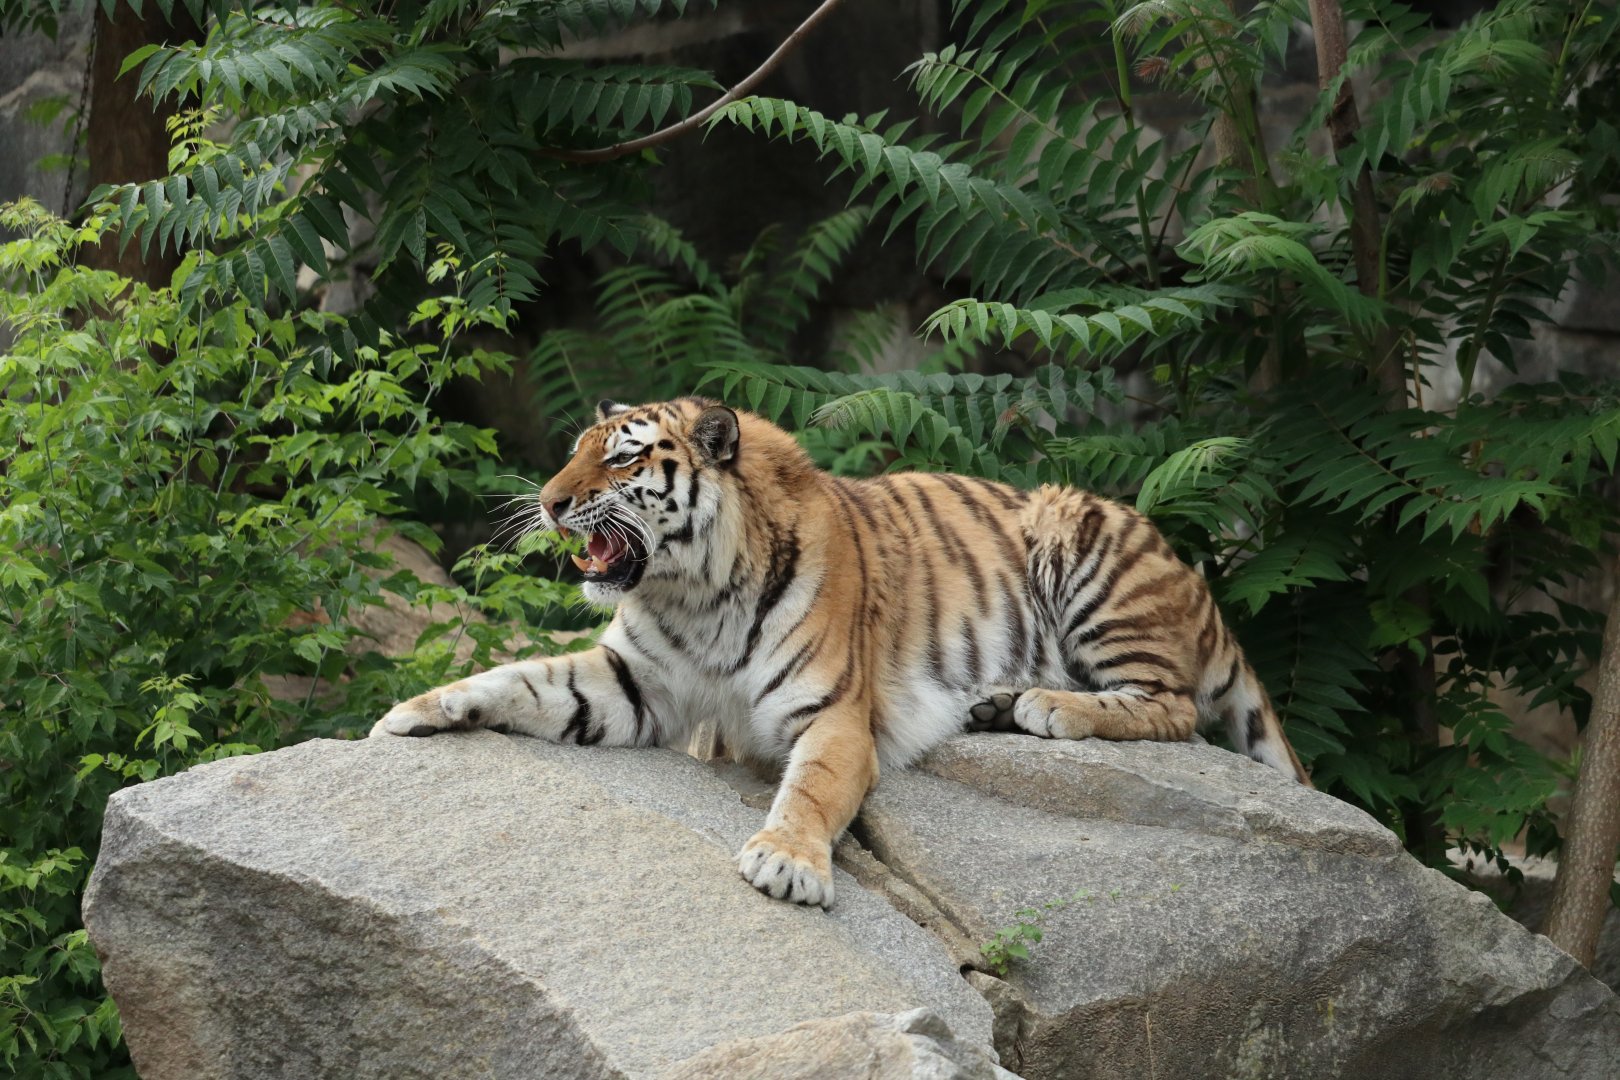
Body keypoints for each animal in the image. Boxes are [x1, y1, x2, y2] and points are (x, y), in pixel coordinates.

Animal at [371, 396, 1309, 908]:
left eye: (623, 460)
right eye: (572, 455)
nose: (549, 501)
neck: (693, 591)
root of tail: (1192, 579)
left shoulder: (831, 715)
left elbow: (813, 791)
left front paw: (785, 863)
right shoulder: (631, 684)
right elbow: (525, 678)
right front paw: (417, 711)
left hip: (1082, 545)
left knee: (1173, 707)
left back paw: (1048, 705)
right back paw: (1001, 702)